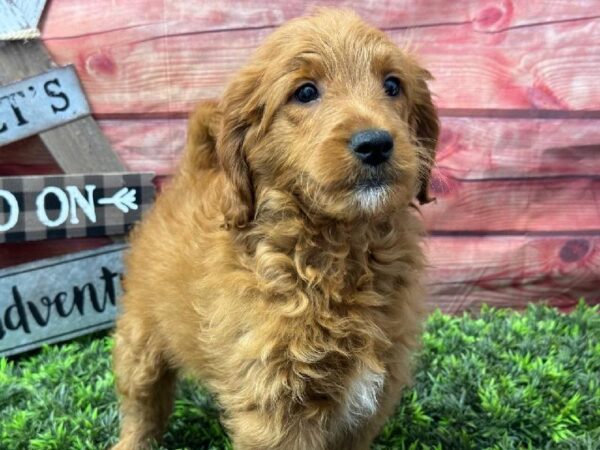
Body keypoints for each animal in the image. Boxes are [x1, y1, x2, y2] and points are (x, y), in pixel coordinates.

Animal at [113, 7, 436, 450]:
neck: (341, 249)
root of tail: (192, 173)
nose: (376, 143)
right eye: (305, 92)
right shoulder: (274, 404)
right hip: (141, 332)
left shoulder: (373, 397)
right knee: (143, 402)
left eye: (392, 85)